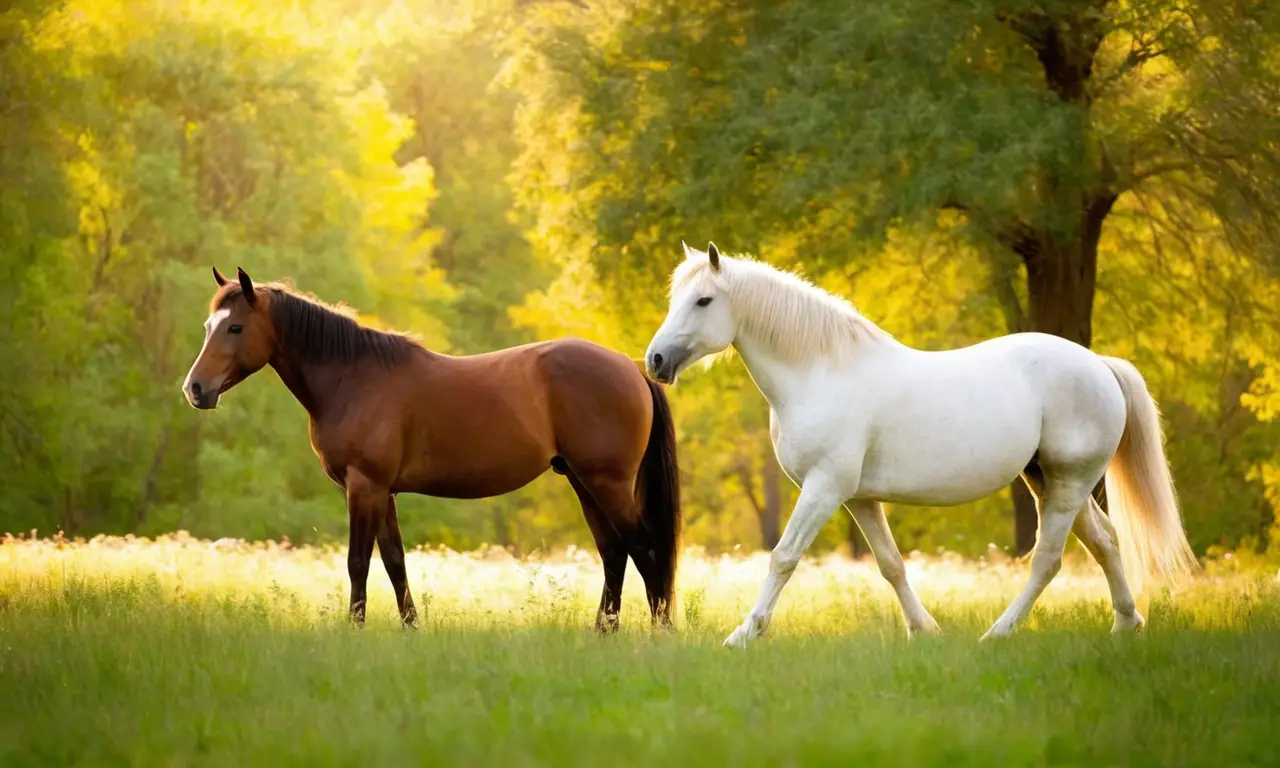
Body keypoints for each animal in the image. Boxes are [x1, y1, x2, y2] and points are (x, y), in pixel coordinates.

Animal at [182, 266, 681, 631]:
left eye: (236, 327)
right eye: (208, 326)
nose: (195, 389)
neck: (352, 378)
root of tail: (631, 368)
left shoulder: (364, 487)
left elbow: (358, 562)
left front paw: (354, 631)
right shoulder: (383, 492)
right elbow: (394, 562)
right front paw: (411, 629)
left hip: (605, 480)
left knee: (642, 547)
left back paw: (659, 631)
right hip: (583, 480)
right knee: (614, 553)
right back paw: (603, 632)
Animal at [645, 242, 1197, 647]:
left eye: (704, 301)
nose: (655, 361)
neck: (822, 372)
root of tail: (1098, 363)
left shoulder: (824, 488)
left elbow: (784, 556)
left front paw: (744, 633)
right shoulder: (859, 498)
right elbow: (891, 564)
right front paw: (924, 629)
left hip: (1068, 481)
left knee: (1048, 560)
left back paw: (999, 633)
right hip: (1051, 480)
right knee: (1104, 542)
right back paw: (1126, 623)